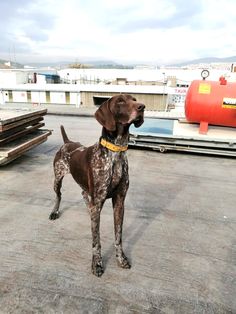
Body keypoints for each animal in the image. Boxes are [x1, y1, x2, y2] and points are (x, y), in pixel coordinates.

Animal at [49, 94, 145, 276]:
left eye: (135, 99)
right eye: (120, 101)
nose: (142, 107)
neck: (115, 152)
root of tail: (68, 142)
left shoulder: (119, 202)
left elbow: (118, 236)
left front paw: (121, 259)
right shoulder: (99, 199)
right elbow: (96, 240)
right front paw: (97, 264)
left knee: (84, 196)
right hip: (57, 178)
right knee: (59, 196)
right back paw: (54, 212)